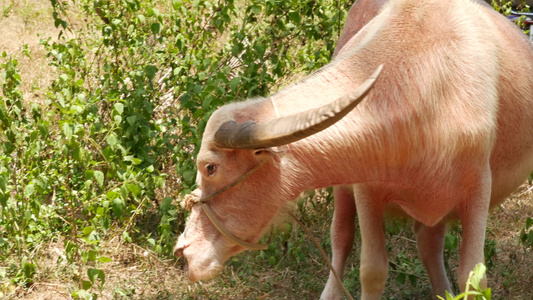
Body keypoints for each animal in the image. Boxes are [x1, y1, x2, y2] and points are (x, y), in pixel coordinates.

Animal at [177, 0, 532, 298]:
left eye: (210, 167)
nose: (183, 251)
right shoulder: (365, 188)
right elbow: (372, 270)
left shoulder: (478, 189)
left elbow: (472, 277)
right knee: (344, 237)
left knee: (428, 244)